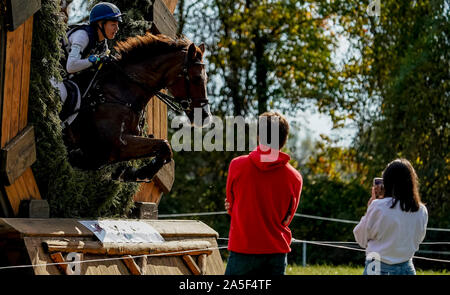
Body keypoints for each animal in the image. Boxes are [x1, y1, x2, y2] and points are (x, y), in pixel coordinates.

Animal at [60, 34, 212, 183]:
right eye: (197, 78)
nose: (205, 116)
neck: (122, 93)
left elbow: (164, 147)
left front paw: (139, 172)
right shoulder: (114, 144)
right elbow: (164, 144)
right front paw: (145, 171)